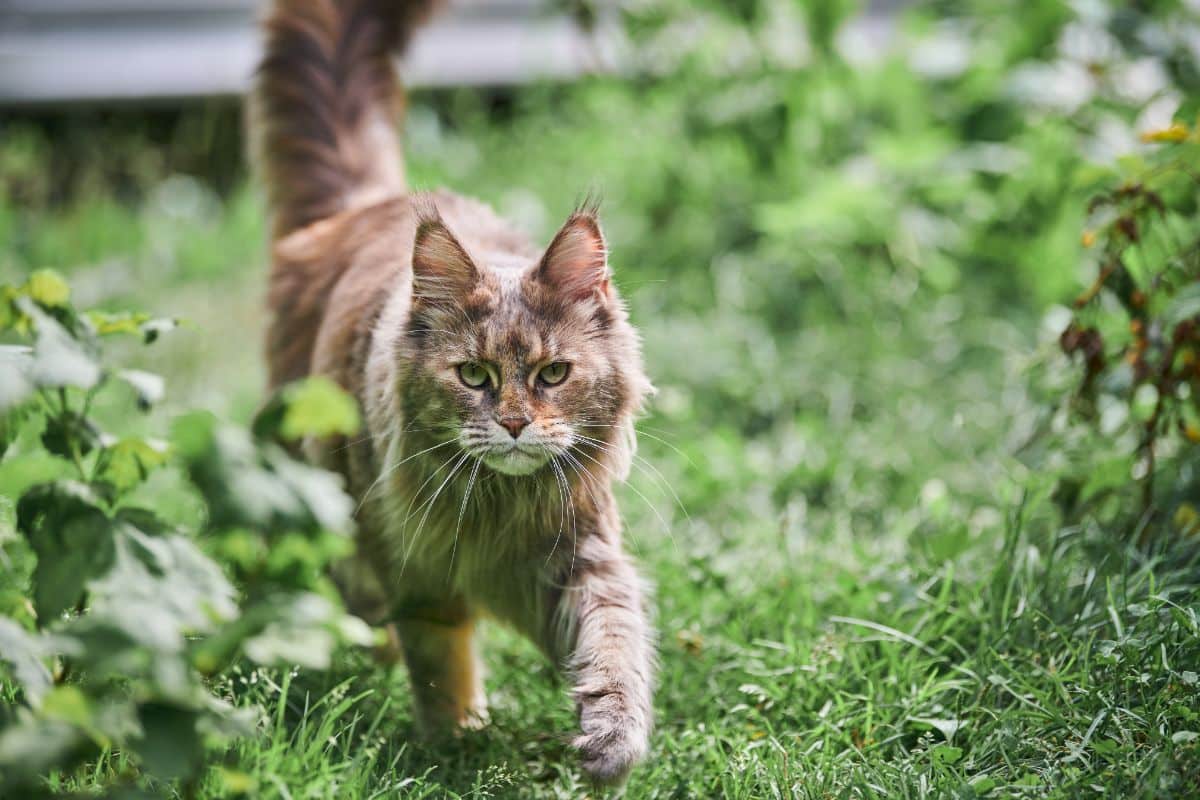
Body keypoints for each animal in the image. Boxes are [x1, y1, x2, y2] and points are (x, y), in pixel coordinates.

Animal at [252, 0, 657, 786]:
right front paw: (457, 745)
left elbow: (614, 641)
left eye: (552, 375)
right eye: (474, 376)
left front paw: (611, 742)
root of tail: (370, 205)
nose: (515, 425)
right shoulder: (417, 575)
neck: (496, 512)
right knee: (356, 598)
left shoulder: (581, 558)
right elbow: (440, 662)